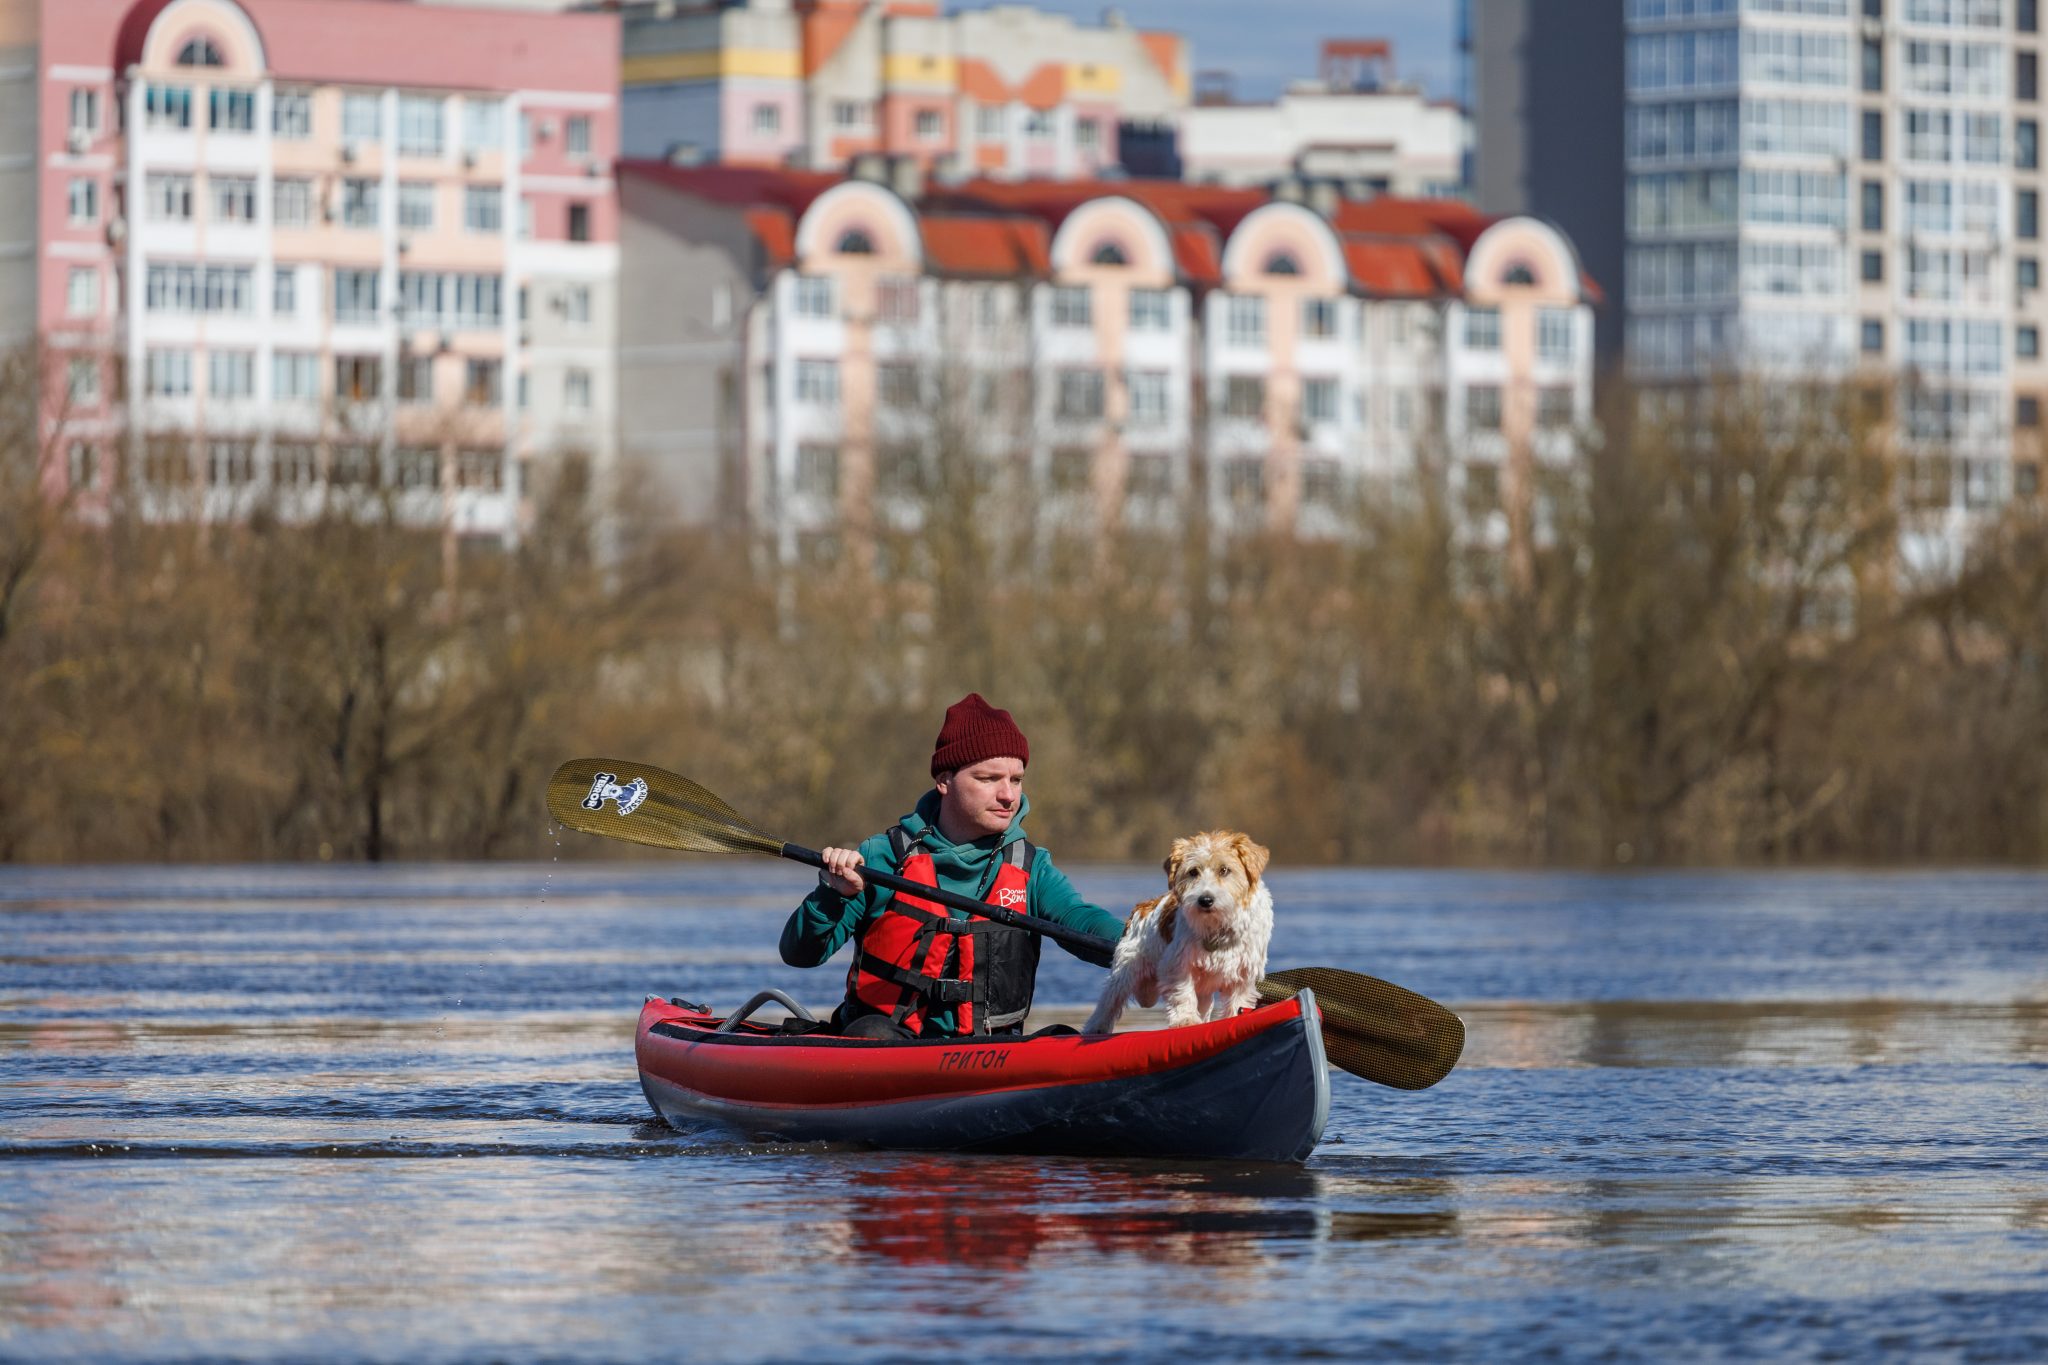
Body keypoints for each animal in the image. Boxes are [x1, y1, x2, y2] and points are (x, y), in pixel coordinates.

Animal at [1081, 834, 1269, 1035]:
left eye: (1224, 870)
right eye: (1193, 872)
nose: (1205, 900)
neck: (1217, 926)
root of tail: (1142, 906)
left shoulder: (1243, 975)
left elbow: (1238, 1002)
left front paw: (1234, 1018)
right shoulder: (1177, 966)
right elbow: (1182, 994)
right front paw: (1185, 1020)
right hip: (1124, 971)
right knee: (1109, 1001)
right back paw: (1095, 1028)